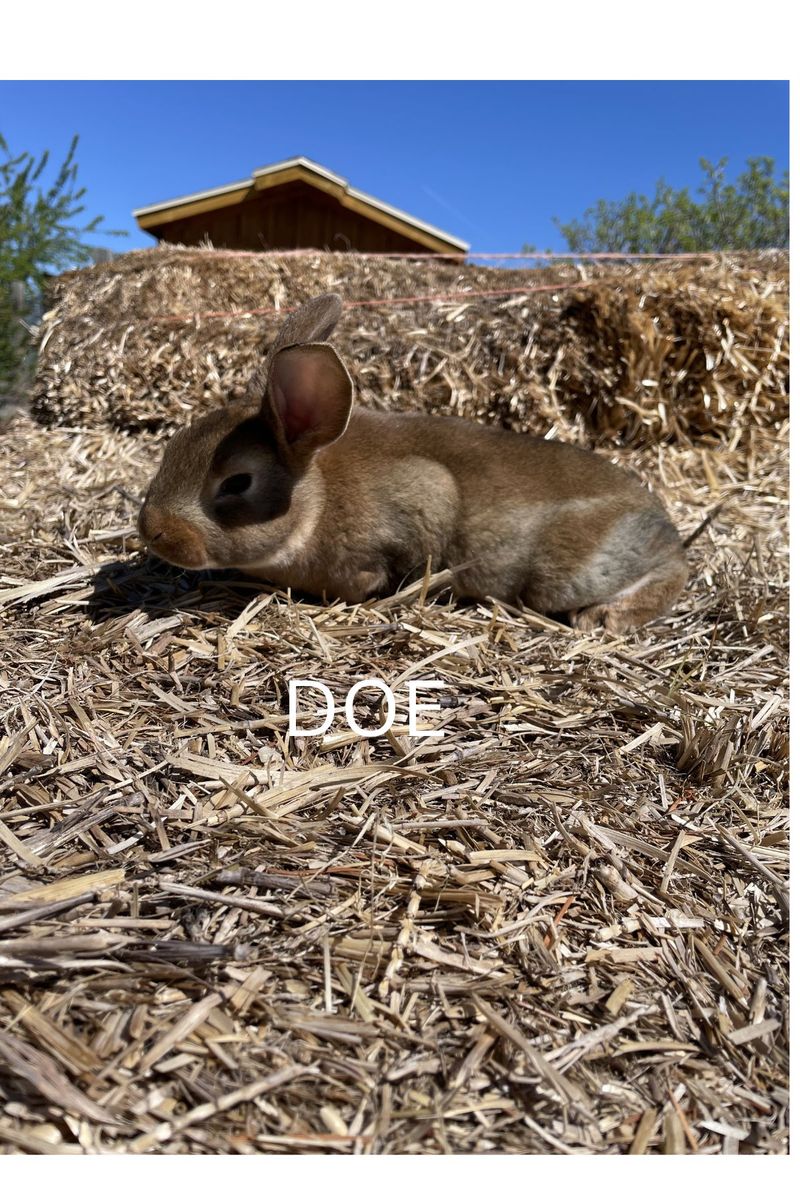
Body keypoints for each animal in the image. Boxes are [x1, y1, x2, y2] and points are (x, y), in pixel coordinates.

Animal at [138, 293, 688, 633]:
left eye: (237, 483)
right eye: (172, 446)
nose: (152, 531)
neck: (315, 500)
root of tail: (658, 518)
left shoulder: (425, 495)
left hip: (563, 576)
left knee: (670, 572)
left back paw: (606, 617)